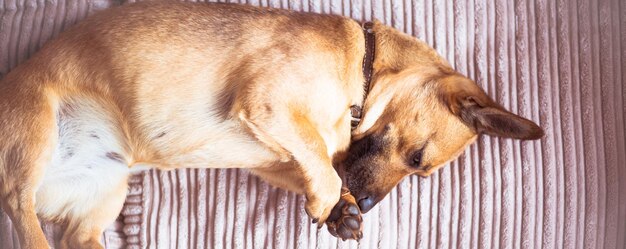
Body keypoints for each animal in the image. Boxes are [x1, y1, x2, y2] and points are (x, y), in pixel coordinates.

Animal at [0, 1, 540, 247]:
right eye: (416, 159)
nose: (368, 204)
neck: (364, 68)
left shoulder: (275, 155)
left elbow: (318, 166)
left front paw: (341, 210)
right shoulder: (268, 103)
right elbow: (324, 167)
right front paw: (335, 202)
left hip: (106, 191)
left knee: (73, 236)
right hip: (37, 127)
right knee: (16, 202)